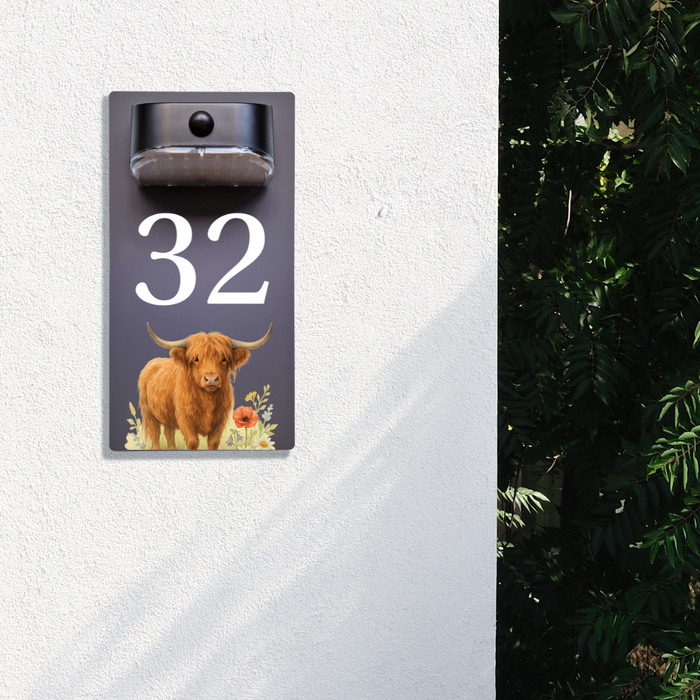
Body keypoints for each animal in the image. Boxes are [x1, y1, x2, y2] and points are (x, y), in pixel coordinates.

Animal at [138, 322, 272, 450]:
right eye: (196, 359)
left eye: (224, 359)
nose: (211, 379)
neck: (207, 400)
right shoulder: (185, 419)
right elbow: (192, 442)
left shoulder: (220, 420)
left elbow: (213, 442)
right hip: (148, 412)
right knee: (155, 433)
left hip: (167, 415)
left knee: (169, 433)